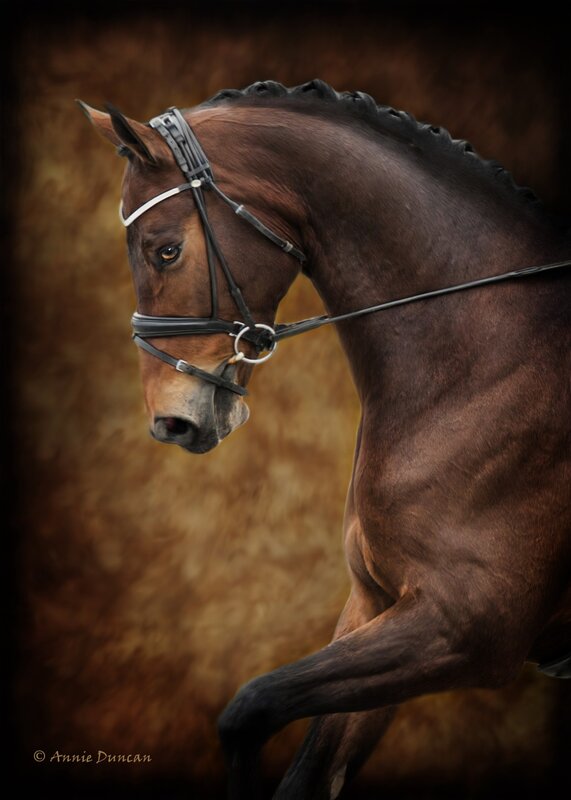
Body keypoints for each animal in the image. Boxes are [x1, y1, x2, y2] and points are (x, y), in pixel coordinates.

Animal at [80, 79, 571, 799]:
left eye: (164, 249)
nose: (170, 421)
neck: (483, 359)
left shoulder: (467, 629)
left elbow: (249, 709)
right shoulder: (376, 606)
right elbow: (307, 767)